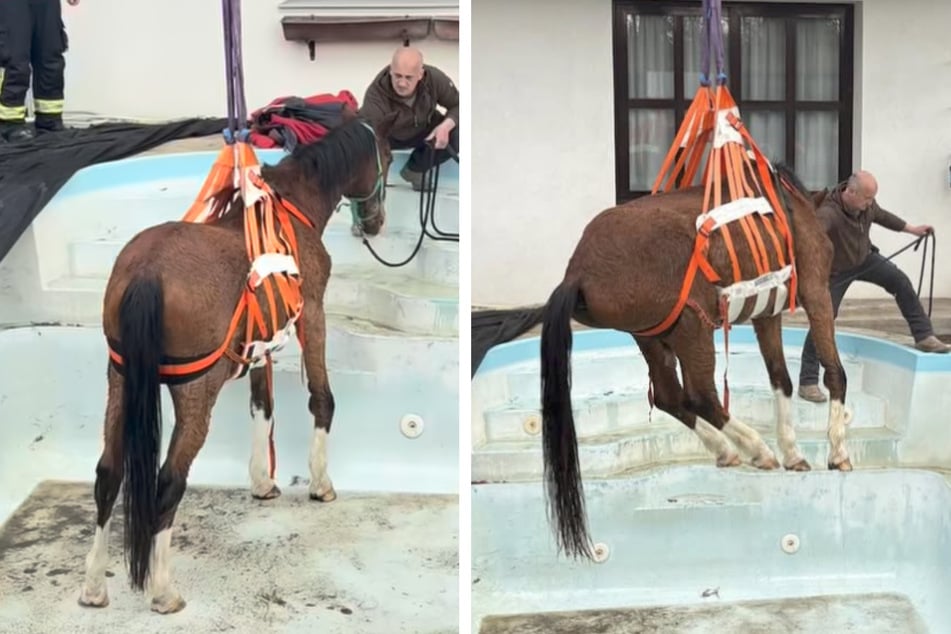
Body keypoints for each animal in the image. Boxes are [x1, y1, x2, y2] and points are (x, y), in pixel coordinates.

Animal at [76, 110, 398, 613]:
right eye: (387, 156)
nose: (376, 222)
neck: (292, 206)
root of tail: (147, 270)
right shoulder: (313, 315)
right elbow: (321, 398)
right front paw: (320, 482)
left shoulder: (261, 342)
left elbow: (262, 407)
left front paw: (262, 481)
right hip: (195, 392)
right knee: (169, 479)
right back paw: (163, 590)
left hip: (120, 380)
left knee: (108, 474)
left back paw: (93, 584)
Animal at [475, 163, 851, 561]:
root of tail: (578, 271)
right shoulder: (815, 291)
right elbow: (834, 373)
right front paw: (837, 451)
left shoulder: (767, 313)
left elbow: (781, 379)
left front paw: (793, 451)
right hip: (693, 325)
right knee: (701, 395)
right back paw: (756, 449)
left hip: (652, 336)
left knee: (670, 396)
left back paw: (725, 449)